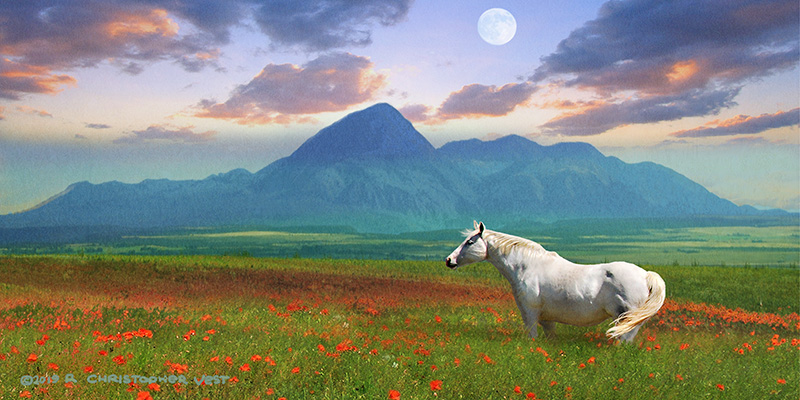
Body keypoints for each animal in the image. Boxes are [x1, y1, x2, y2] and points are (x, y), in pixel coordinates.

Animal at [445, 221, 665, 343]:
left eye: (470, 242)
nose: (449, 260)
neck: (528, 267)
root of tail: (645, 275)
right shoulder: (547, 320)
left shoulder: (530, 314)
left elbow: (532, 337)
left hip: (626, 318)